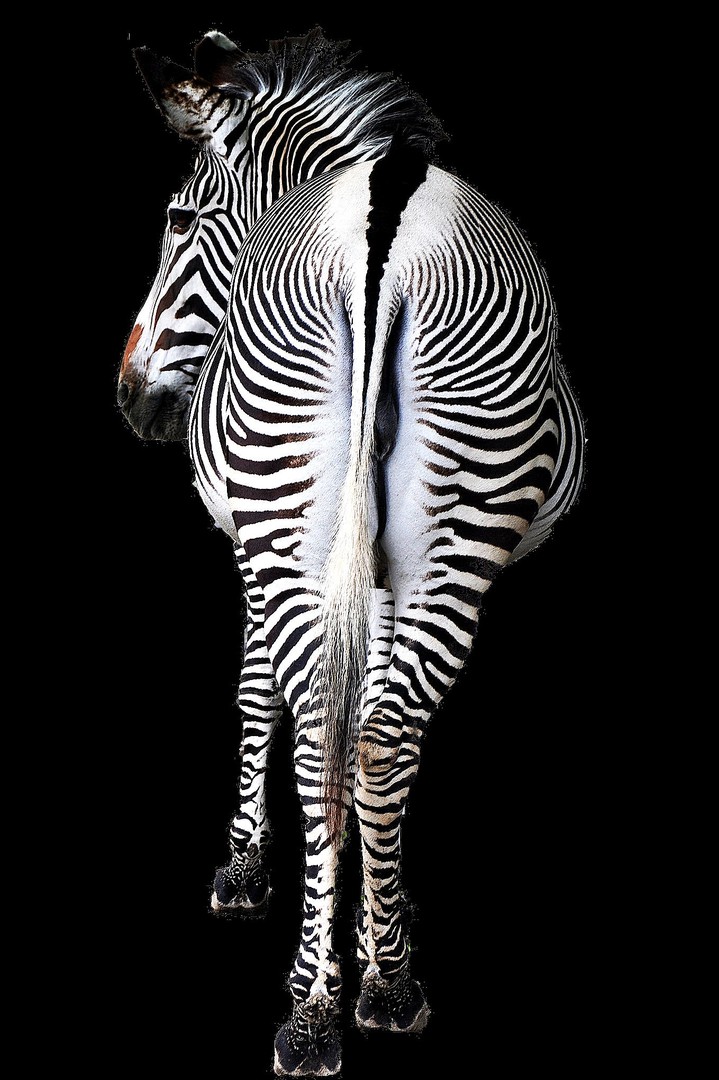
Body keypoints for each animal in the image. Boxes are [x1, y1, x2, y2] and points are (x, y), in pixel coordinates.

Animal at [117, 29, 586, 1078]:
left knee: (327, 733)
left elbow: (259, 697)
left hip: (289, 518)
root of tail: (383, 227)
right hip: (458, 525)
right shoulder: (371, 567)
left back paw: (310, 1011)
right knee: (377, 732)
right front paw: (380, 921)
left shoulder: (250, 545)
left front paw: (248, 870)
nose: (130, 400)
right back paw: (384, 985)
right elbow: (369, 725)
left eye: (177, 219)